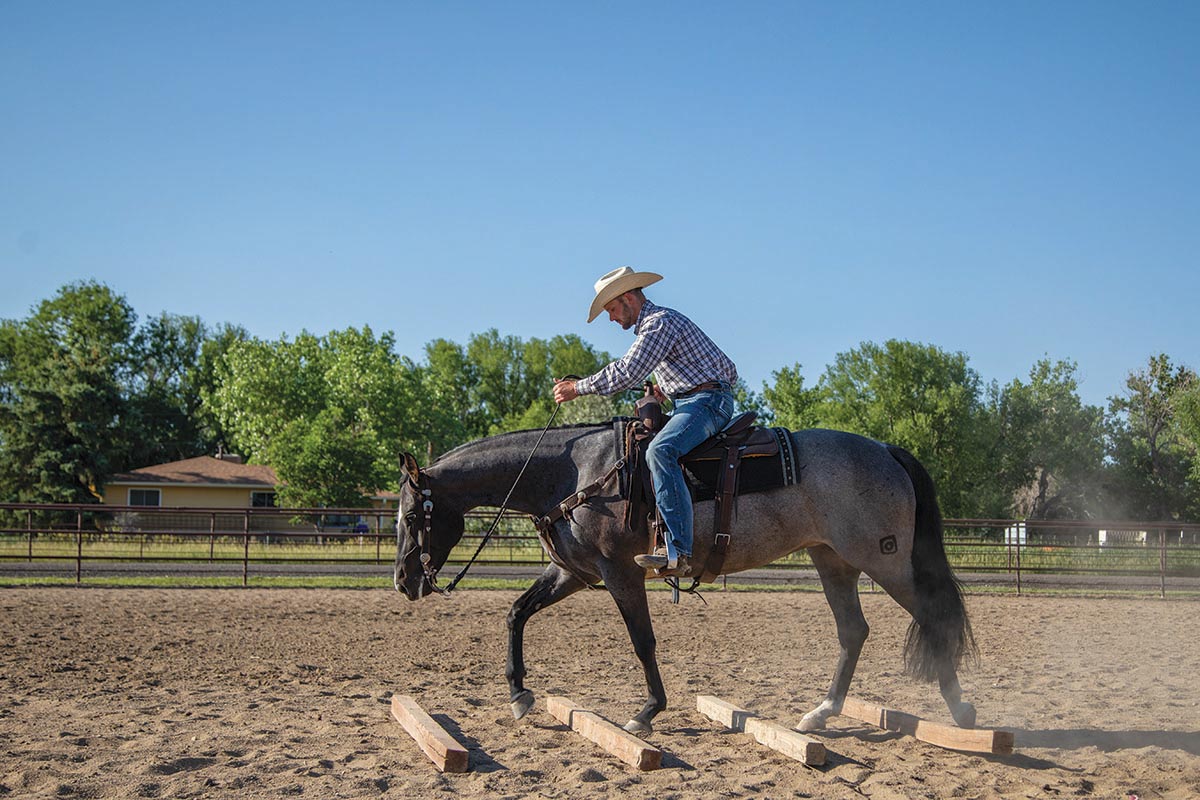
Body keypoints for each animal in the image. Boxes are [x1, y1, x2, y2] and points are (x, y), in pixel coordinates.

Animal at [393, 422, 974, 734]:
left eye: (414, 514)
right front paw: (518, 693)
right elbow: (517, 613)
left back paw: (962, 711)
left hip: (884, 562)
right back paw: (821, 713)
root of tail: (885, 451)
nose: (404, 582)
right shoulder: (573, 573)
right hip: (832, 561)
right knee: (853, 631)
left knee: (933, 618)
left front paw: (648, 711)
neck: (577, 473)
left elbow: (642, 641)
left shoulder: (618, 572)